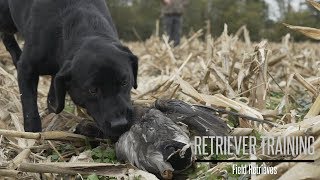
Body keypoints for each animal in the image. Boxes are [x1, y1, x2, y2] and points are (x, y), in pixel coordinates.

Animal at [0, 0, 138, 139]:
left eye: (125, 82)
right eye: (92, 90)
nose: (120, 124)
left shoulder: (59, 72)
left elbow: (54, 89)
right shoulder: (27, 68)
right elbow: (29, 102)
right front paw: (32, 132)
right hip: (6, 18)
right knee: (6, 35)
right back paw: (17, 55)